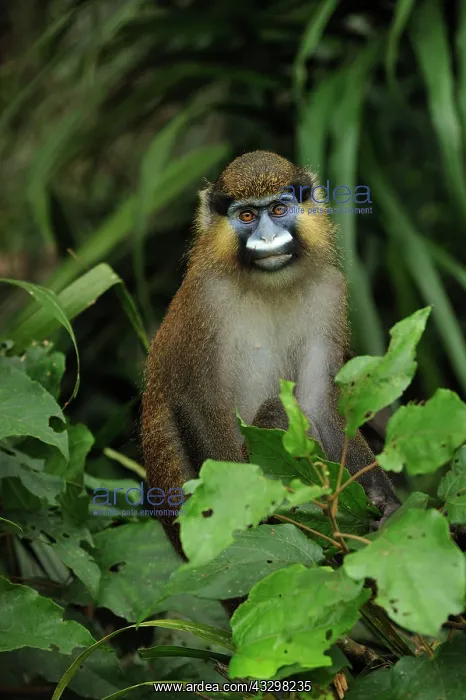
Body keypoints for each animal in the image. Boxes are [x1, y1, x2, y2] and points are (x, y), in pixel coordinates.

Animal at [141, 150, 399, 554]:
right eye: (247, 215)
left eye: (279, 209)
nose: (267, 237)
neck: (269, 286)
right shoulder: (203, 301)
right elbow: (200, 402)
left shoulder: (329, 291)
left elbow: (318, 400)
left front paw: (384, 500)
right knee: (275, 412)